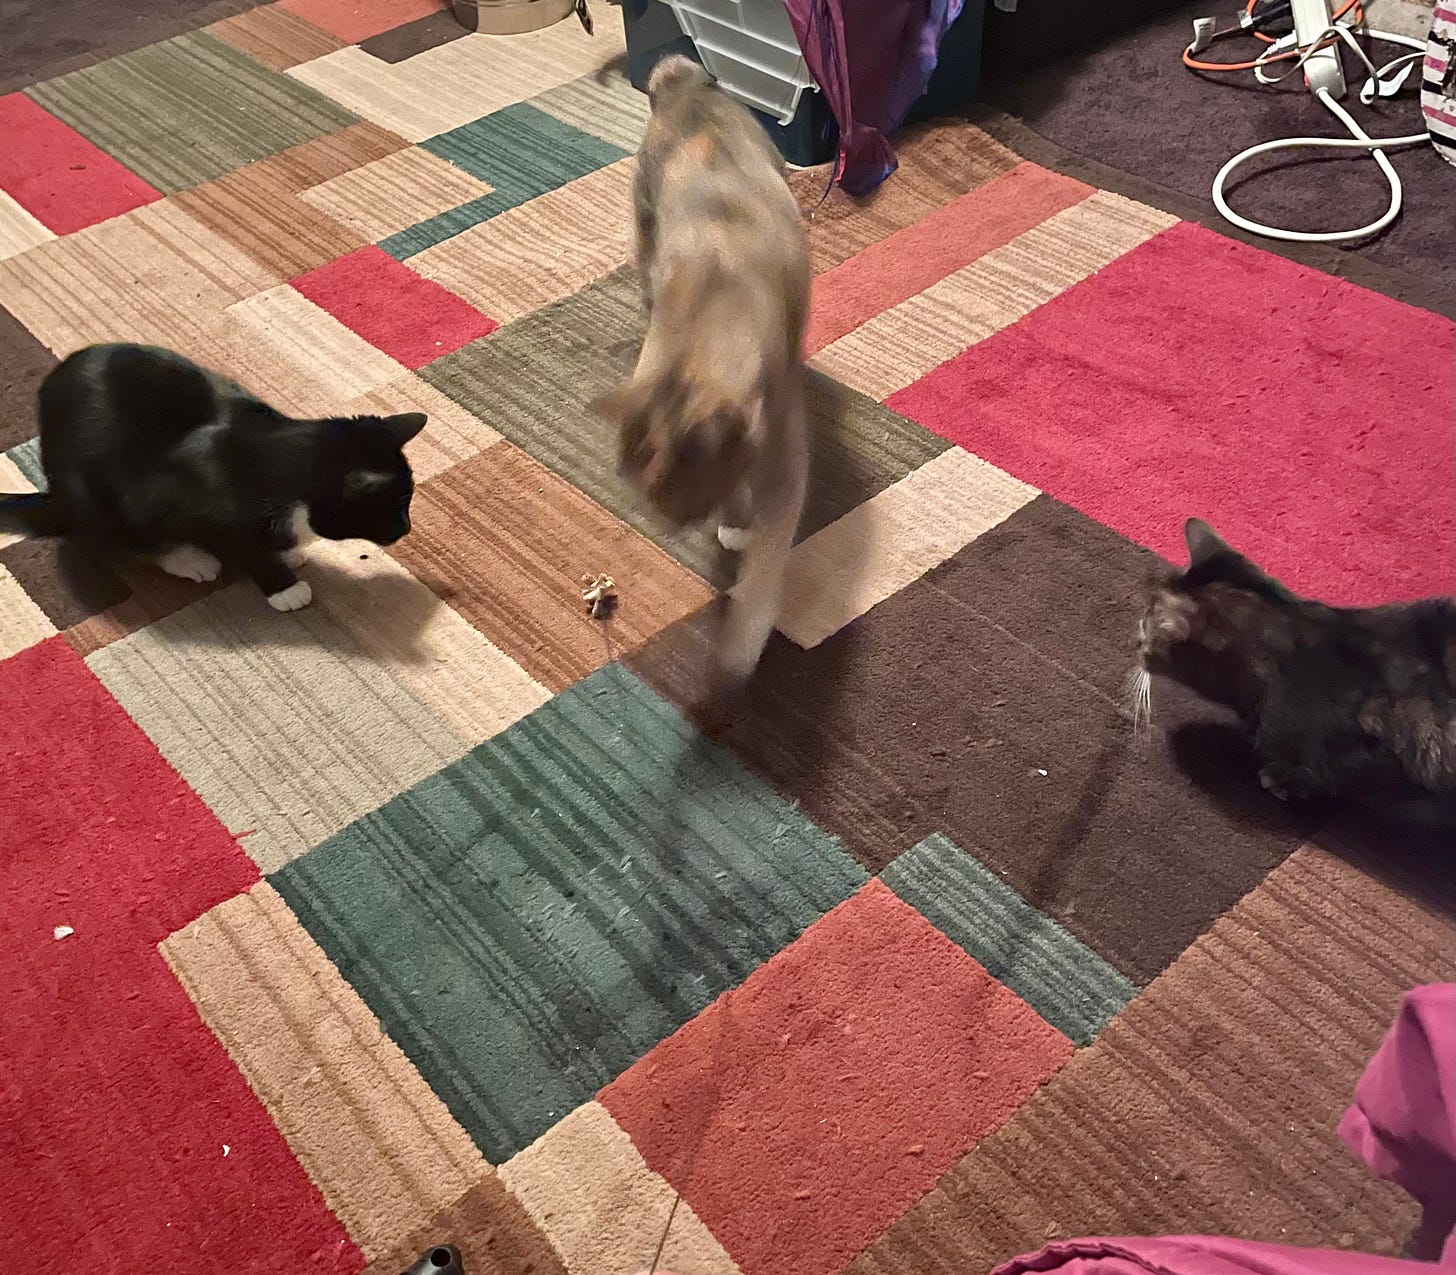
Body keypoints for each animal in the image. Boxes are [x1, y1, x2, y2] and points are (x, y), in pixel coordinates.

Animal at [0, 343, 425, 611]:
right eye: (396, 506)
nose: (405, 528)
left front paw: (288, 551)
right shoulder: (198, 506)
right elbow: (245, 546)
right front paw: (283, 586)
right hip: (99, 502)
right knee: (122, 542)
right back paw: (190, 560)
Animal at [594, 54, 821, 681]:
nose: (677, 527)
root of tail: (684, 87)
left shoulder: (785, 468)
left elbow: (761, 580)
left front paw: (736, 654)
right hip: (646, 222)